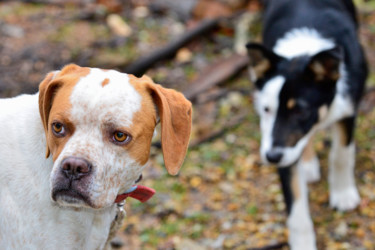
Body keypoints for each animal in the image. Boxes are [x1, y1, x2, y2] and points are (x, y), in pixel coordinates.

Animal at [247, 0, 368, 248]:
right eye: (266, 109)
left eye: (300, 111)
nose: (271, 157)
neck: (302, 52)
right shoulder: (281, 147)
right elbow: (295, 207)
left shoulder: (348, 108)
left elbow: (341, 154)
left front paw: (343, 194)